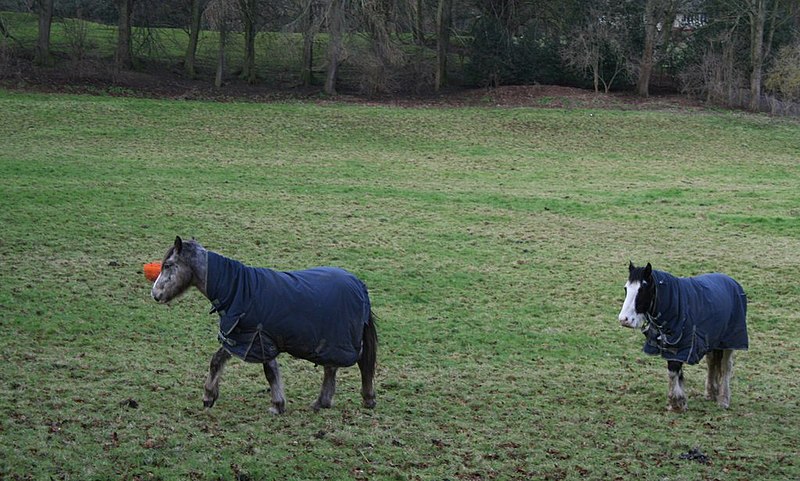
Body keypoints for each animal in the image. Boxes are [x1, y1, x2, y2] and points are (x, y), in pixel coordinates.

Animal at [620, 260, 748, 410]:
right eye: (626, 288)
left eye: (642, 289)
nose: (624, 319)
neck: (676, 304)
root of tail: (732, 282)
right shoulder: (672, 346)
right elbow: (674, 371)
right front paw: (678, 401)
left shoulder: (683, 346)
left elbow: (673, 370)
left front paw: (676, 402)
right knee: (711, 362)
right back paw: (711, 393)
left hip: (730, 341)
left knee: (725, 366)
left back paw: (723, 399)